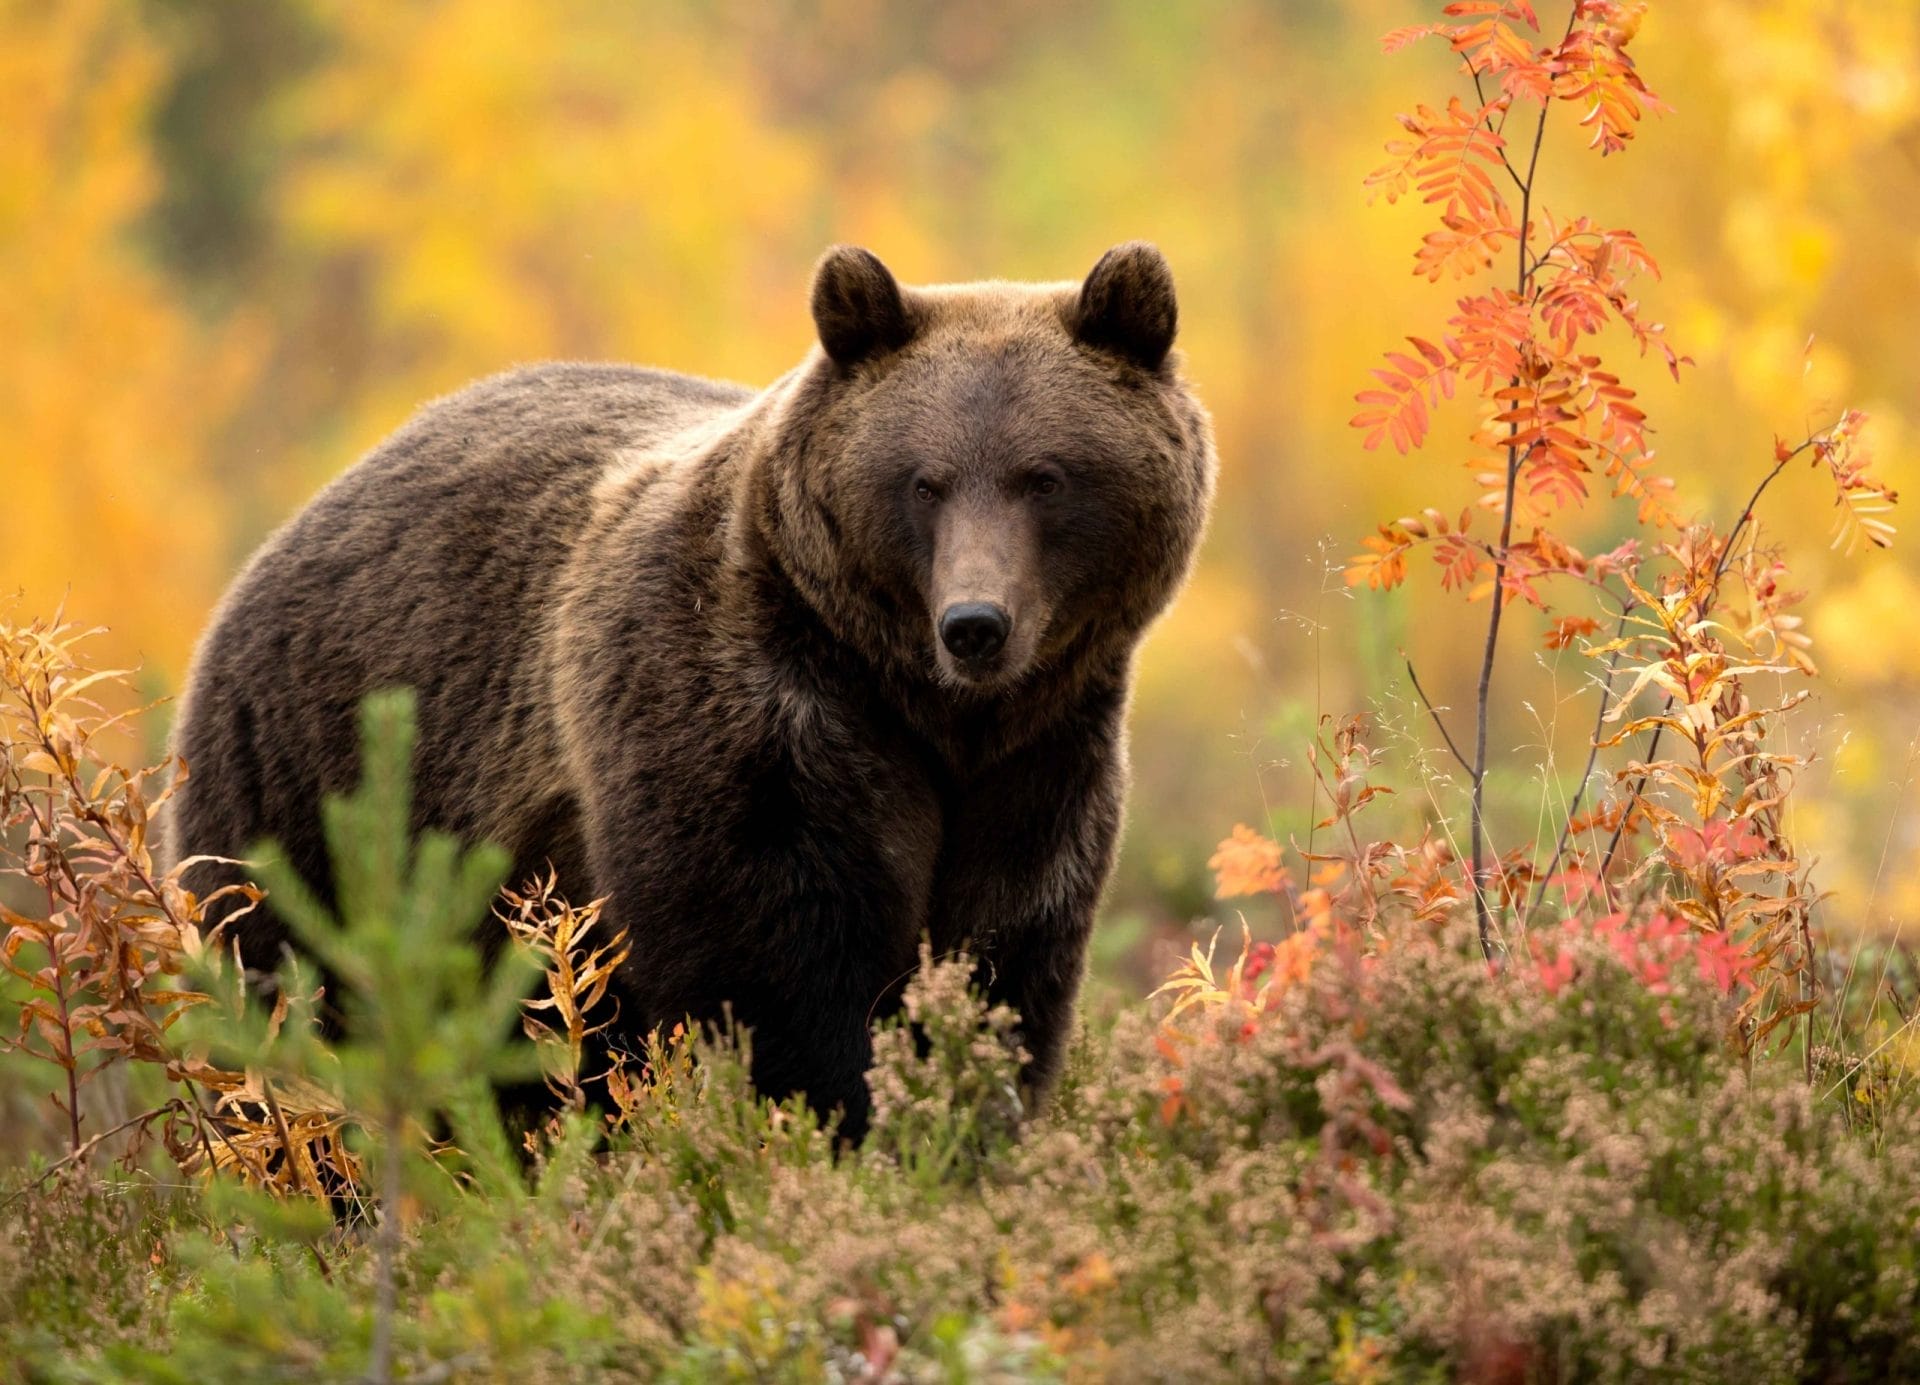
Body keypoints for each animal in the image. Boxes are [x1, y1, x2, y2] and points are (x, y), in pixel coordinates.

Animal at [165, 245, 1213, 1137]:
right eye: (925, 481)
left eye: (1045, 476)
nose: (975, 622)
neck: (926, 705)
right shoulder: (747, 709)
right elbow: (774, 965)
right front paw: (834, 1117)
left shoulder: (1039, 756)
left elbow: (1007, 953)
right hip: (313, 801)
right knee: (292, 1012)